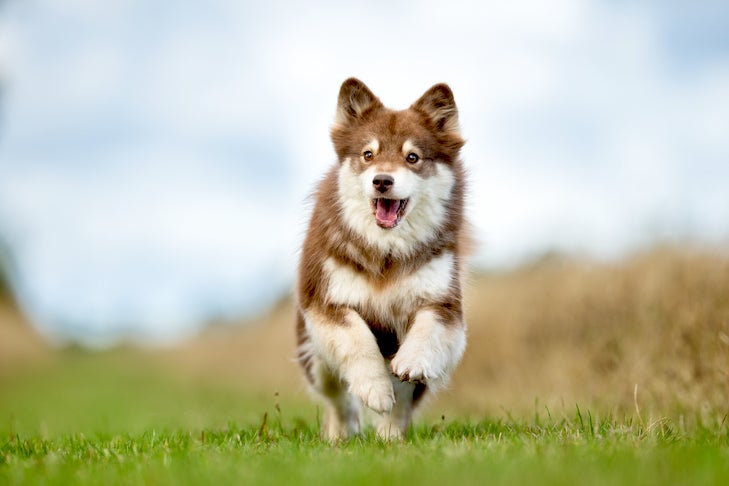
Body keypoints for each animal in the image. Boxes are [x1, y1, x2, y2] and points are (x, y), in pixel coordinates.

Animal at [294, 77, 466, 440]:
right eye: (368, 155)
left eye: (412, 157)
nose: (382, 181)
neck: (385, 251)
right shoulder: (326, 302)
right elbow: (356, 338)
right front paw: (373, 387)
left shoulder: (445, 304)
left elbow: (429, 329)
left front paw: (410, 361)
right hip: (314, 356)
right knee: (337, 396)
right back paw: (341, 433)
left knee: (401, 398)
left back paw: (390, 437)